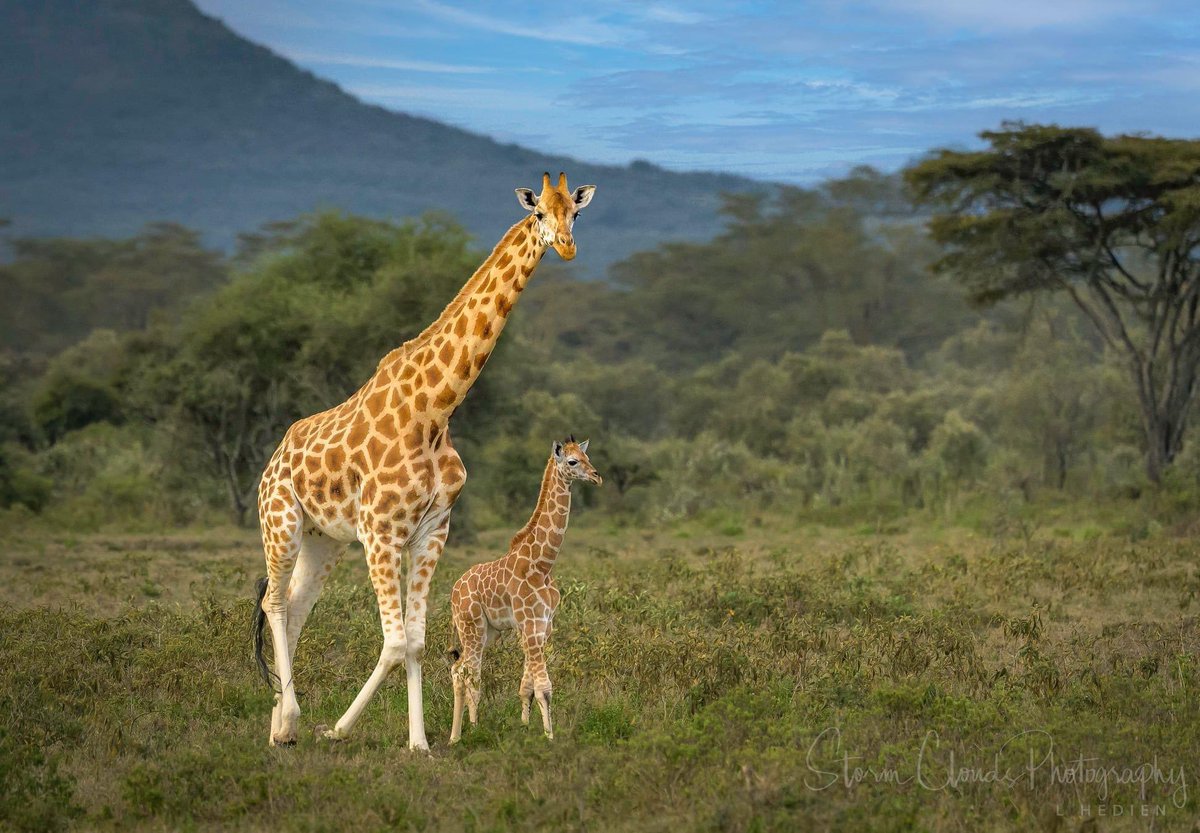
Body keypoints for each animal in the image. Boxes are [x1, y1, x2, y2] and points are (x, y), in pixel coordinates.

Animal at [447, 437, 602, 744]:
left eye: (587, 456)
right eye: (572, 461)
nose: (596, 476)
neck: (542, 564)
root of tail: (455, 590)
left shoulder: (542, 626)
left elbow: (527, 687)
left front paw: (526, 728)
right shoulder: (530, 624)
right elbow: (544, 687)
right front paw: (549, 737)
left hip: (488, 632)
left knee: (465, 671)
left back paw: (470, 728)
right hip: (470, 626)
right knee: (465, 673)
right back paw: (460, 736)